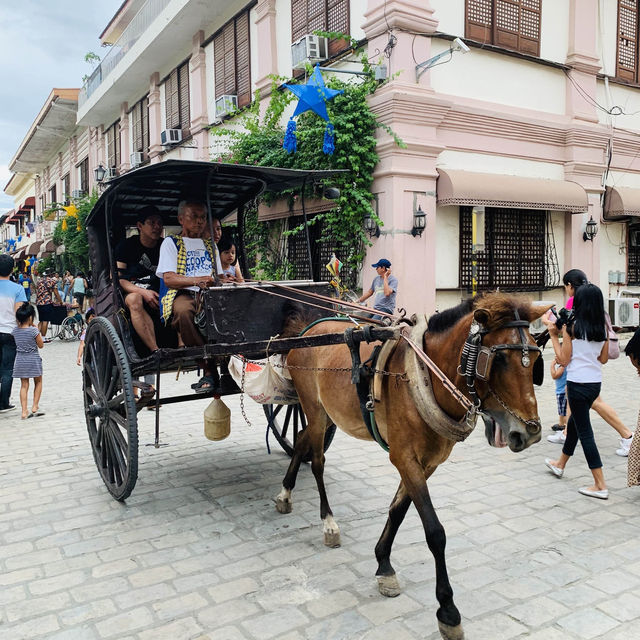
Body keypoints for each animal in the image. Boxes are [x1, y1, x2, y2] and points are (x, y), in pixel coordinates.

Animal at [276, 294, 552, 640]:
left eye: (537, 357)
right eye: (498, 360)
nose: (530, 432)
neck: (425, 375)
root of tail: (308, 331)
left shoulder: (427, 463)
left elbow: (398, 510)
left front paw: (383, 565)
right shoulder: (404, 458)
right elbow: (435, 532)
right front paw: (448, 611)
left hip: (324, 414)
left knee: (299, 440)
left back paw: (285, 494)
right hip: (313, 408)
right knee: (317, 462)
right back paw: (328, 522)